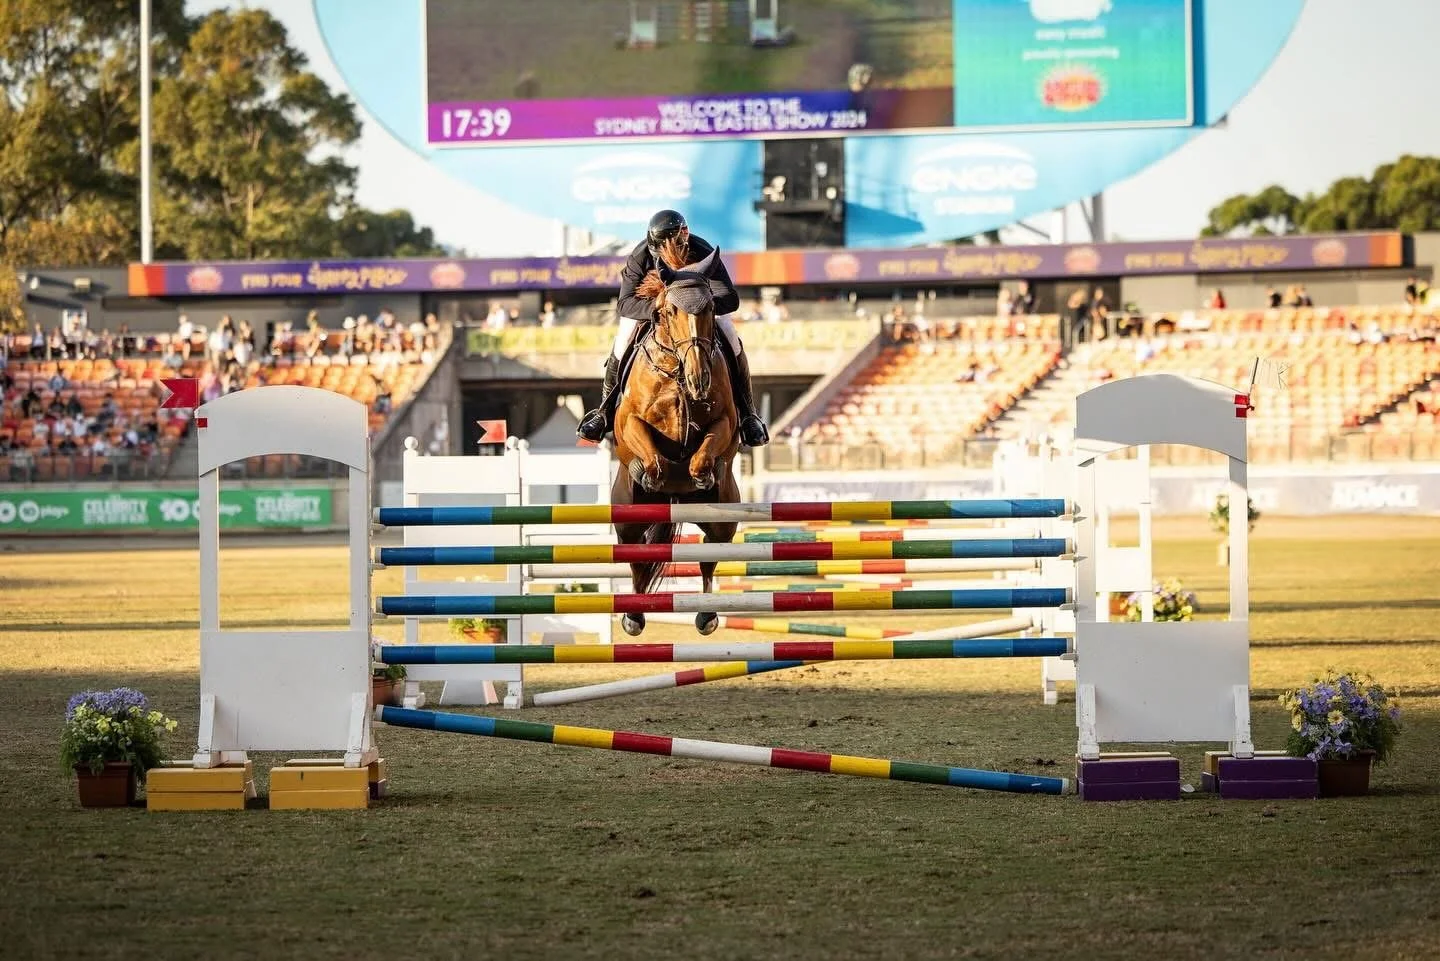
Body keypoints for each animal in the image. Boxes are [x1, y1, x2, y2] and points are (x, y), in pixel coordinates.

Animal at [609, 242, 741, 637]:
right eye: (669, 311)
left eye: (710, 308)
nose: (699, 380)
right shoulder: (630, 423)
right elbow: (650, 455)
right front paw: (652, 473)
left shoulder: (726, 423)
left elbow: (705, 452)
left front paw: (699, 474)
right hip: (627, 517)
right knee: (637, 559)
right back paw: (633, 618)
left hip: (724, 518)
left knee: (710, 557)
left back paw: (707, 617)